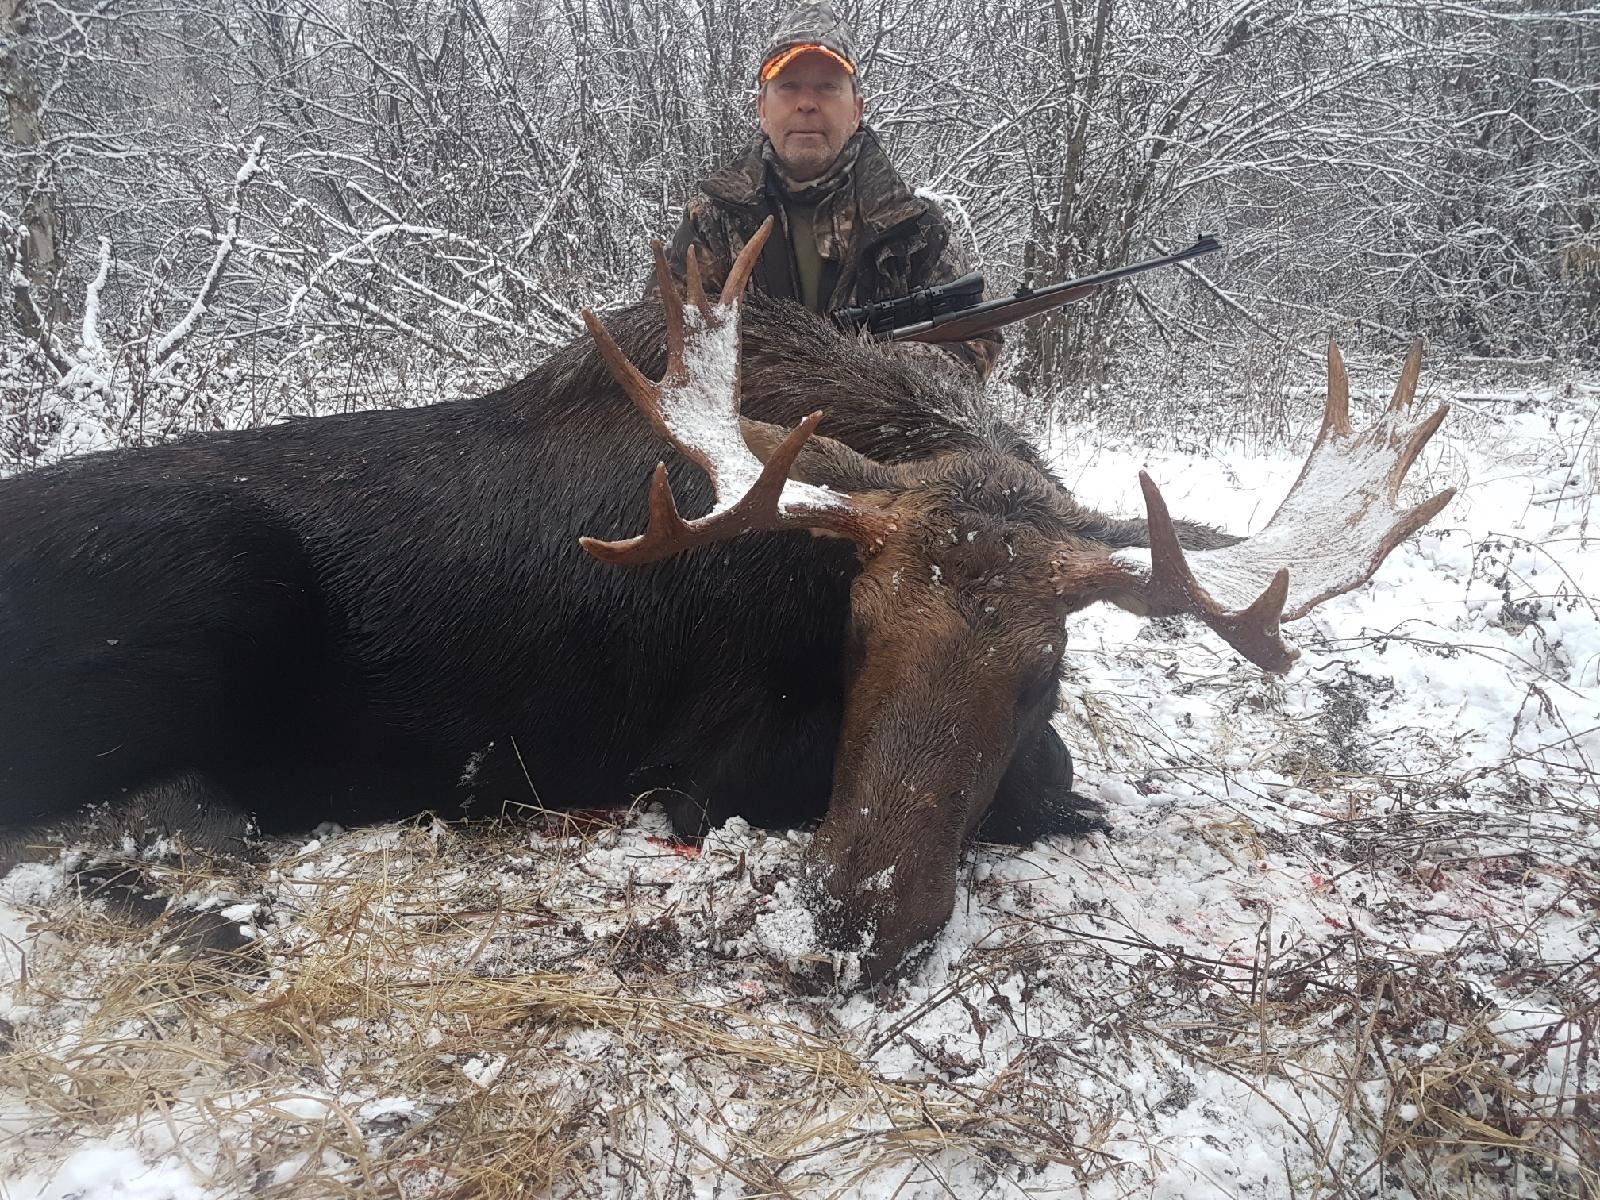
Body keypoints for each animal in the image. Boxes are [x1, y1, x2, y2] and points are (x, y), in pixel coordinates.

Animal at [0, 219, 1452, 985]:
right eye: (858, 633)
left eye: (1045, 666)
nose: (863, 913)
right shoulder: (709, 764)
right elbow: (1042, 795)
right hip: (209, 586)